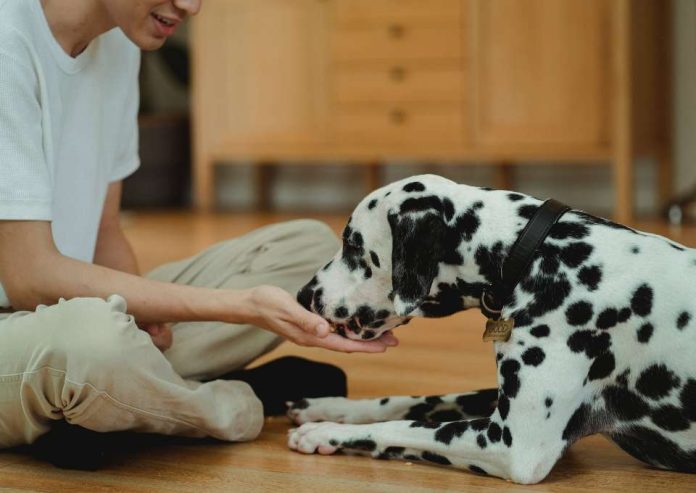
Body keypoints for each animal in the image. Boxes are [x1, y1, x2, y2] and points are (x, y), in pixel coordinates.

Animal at [286, 174, 696, 484]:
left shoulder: (510, 444)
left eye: (352, 244)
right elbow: (409, 401)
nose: (303, 294)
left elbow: (403, 427)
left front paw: (325, 431)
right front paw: (329, 407)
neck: (534, 255)